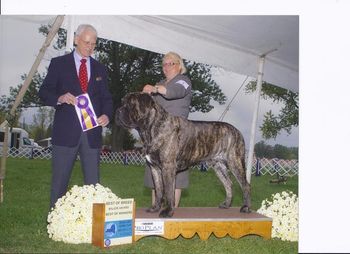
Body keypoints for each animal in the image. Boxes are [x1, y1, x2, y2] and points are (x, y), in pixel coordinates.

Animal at [115, 92, 252, 217]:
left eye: (131, 104)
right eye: (122, 102)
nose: (118, 110)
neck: (151, 128)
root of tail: (237, 131)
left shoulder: (168, 167)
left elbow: (168, 192)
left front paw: (167, 211)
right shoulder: (154, 168)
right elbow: (158, 191)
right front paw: (155, 208)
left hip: (235, 163)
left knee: (246, 185)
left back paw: (245, 208)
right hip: (219, 167)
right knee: (228, 184)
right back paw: (227, 204)